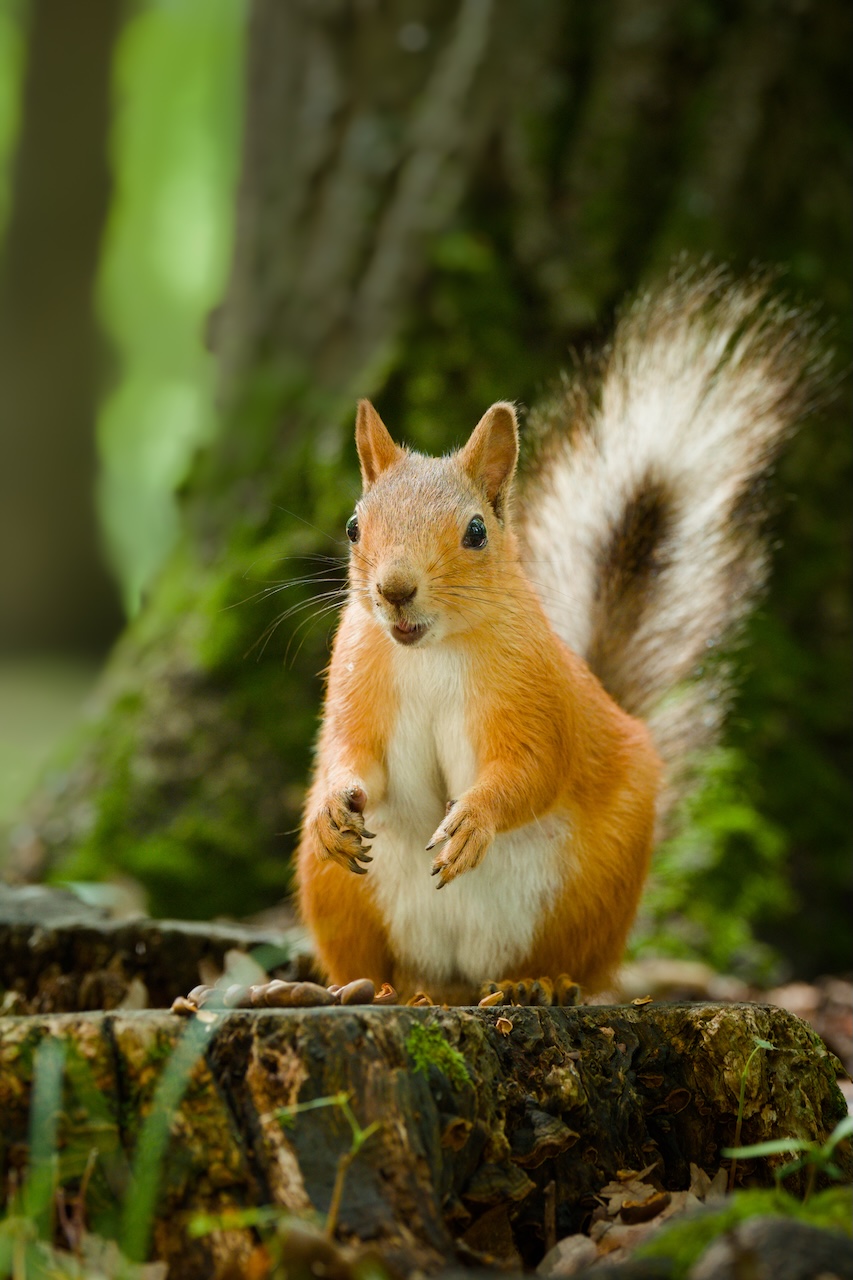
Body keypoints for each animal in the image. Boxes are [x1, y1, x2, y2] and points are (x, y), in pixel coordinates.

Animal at [296, 264, 818, 1007]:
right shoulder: (357, 676)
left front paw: (474, 819)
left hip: (590, 892)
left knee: (569, 964)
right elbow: (349, 749)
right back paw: (383, 989)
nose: (394, 590)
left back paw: (532, 985)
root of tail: (461, 980)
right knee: (375, 960)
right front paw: (335, 806)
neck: (429, 652)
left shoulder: (533, 691)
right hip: (339, 896)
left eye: (476, 531)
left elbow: (532, 769)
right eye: (353, 527)